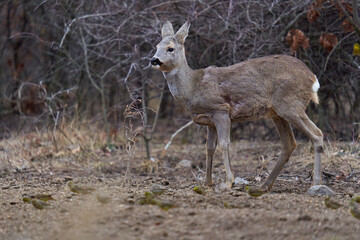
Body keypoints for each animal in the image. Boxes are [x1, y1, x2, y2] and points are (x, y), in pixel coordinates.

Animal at [150, 21, 328, 195]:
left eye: (170, 48)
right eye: (157, 46)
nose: (154, 60)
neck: (193, 87)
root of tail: (313, 78)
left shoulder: (221, 111)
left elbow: (224, 144)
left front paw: (228, 182)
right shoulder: (209, 121)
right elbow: (209, 148)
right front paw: (207, 183)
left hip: (290, 104)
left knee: (317, 134)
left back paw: (316, 183)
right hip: (277, 113)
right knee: (289, 144)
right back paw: (264, 186)